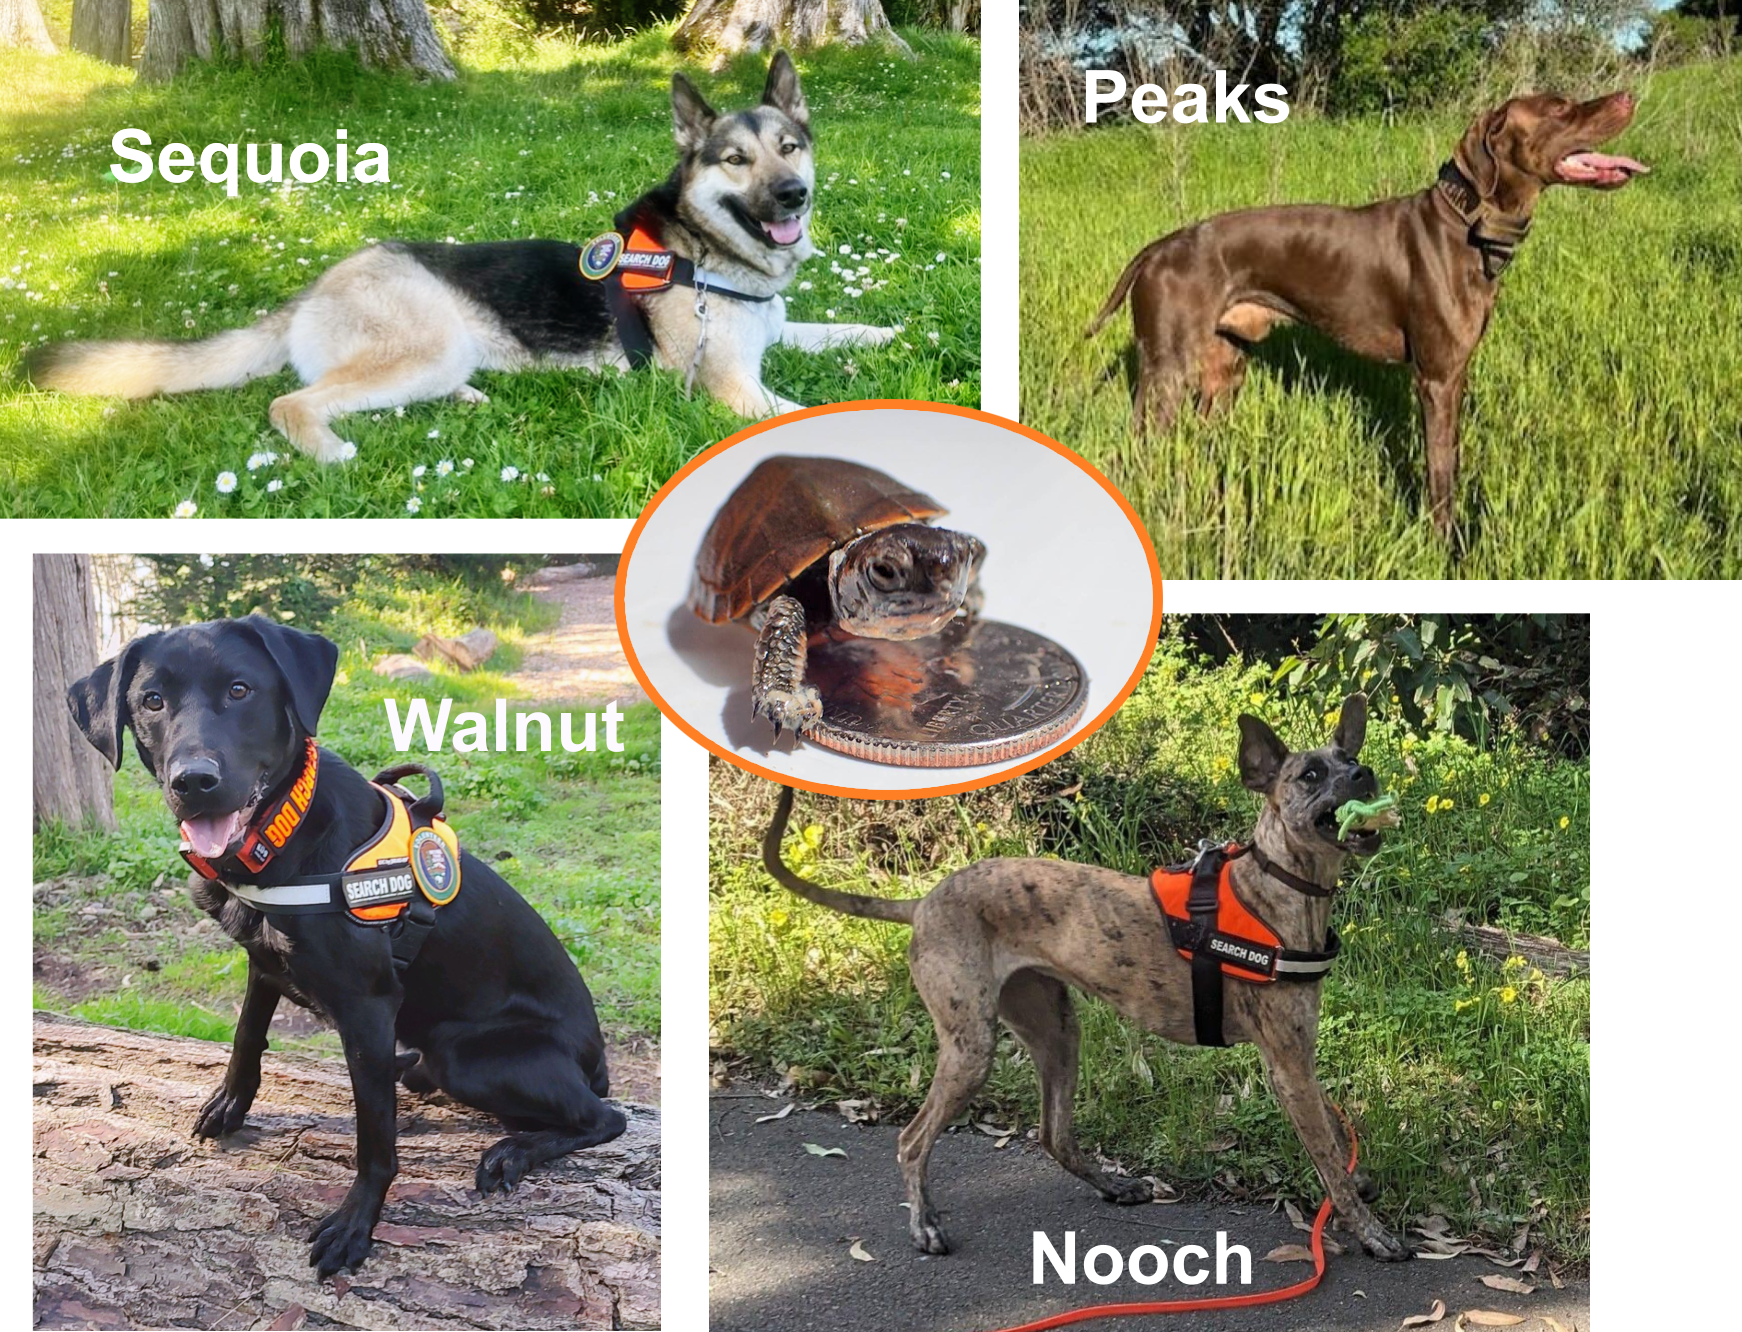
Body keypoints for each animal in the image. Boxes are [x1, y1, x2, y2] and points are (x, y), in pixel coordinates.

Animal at [20, 53, 877, 463]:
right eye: (734, 160)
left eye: (789, 147)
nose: (793, 196)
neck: (703, 251)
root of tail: (314, 287)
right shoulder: (730, 384)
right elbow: (809, 415)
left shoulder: (775, 332)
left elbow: (836, 331)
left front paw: (881, 335)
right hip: (422, 345)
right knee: (292, 402)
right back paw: (329, 450)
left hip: (430, 356)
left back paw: (463, 398)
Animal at [67, 619, 627, 1274]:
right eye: (152, 701)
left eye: (240, 689)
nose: (194, 782)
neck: (283, 836)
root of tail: (596, 1060)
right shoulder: (264, 961)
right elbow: (247, 1036)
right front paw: (230, 1104)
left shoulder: (368, 1008)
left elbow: (374, 1137)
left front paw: (357, 1225)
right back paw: (415, 1071)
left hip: (472, 1056)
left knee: (605, 1117)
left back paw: (514, 1150)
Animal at [762, 689, 1414, 1260]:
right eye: (1310, 775)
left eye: (1349, 760)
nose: (1365, 775)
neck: (1277, 890)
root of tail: (923, 902)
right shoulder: (1286, 1064)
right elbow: (1328, 1156)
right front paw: (1370, 1231)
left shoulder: (1299, 1056)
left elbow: (1335, 1133)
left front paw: (1358, 1186)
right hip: (971, 1046)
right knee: (912, 1139)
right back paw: (925, 1224)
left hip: (1054, 1030)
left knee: (1053, 1134)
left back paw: (1114, 1185)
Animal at [1087, 89, 1644, 539]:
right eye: (1559, 107)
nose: (1628, 96)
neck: (1469, 223)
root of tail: (1157, 248)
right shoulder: (1436, 380)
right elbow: (1439, 473)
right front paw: (1445, 544)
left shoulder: (1456, 377)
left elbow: (1453, 457)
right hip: (1165, 373)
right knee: (1138, 447)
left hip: (1225, 371)